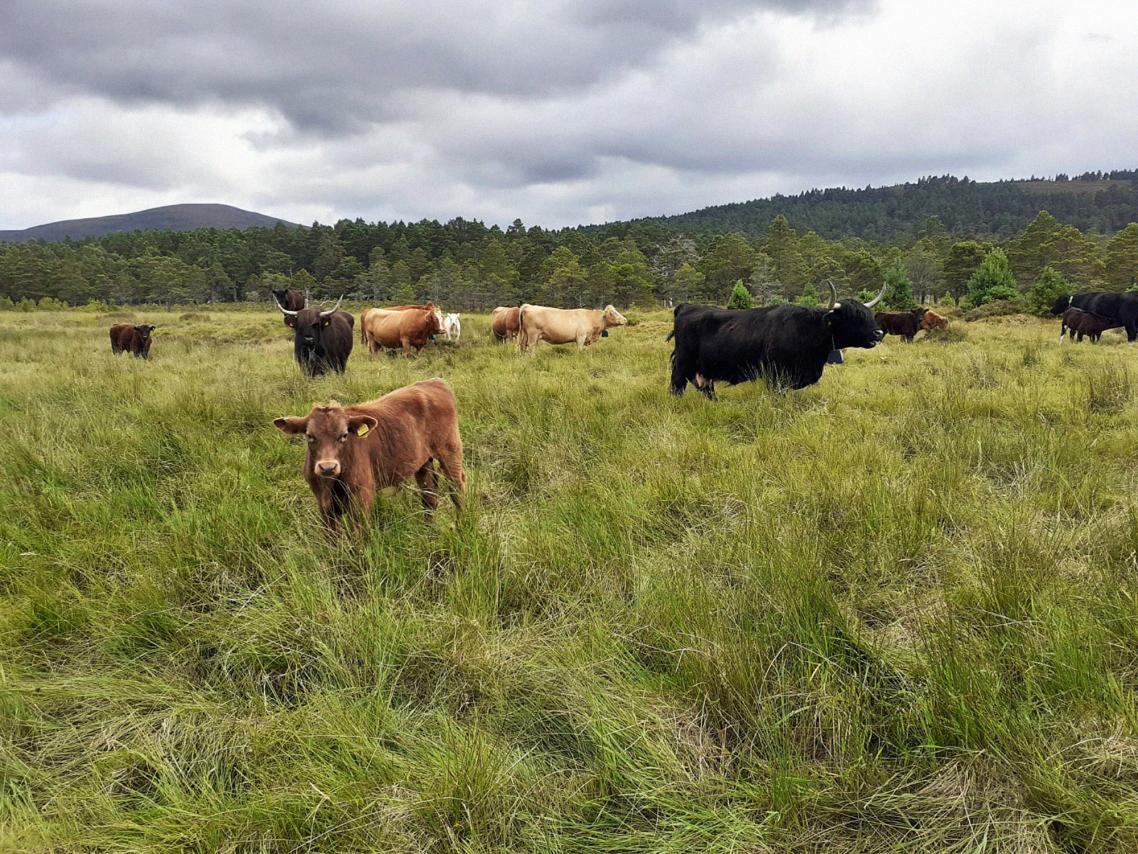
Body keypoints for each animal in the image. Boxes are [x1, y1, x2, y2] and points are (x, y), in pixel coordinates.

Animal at [273, 380, 464, 532]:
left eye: (344, 435)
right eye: (310, 436)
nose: (328, 467)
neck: (333, 482)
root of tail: (433, 382)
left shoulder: (361, 497)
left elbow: (359, 535)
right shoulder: (324, 504)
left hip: (450, 451)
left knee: (457, 489)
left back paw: (461, 526)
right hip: (423, 462)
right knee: (429, 495)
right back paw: (428, 530)